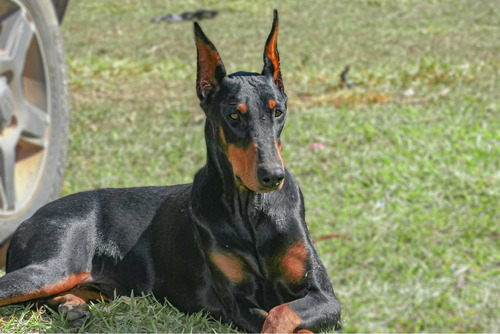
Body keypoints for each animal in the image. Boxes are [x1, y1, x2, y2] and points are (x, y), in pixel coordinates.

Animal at [0, 9, 340, 332]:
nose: (272, 176)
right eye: (234, 115)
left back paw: (72, 308)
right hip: (52, 269)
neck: (251, 210)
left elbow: (282, 313)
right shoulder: (237, 303)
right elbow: (275, 316)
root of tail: (28, 221)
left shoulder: (325, 296)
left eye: (278, 111)